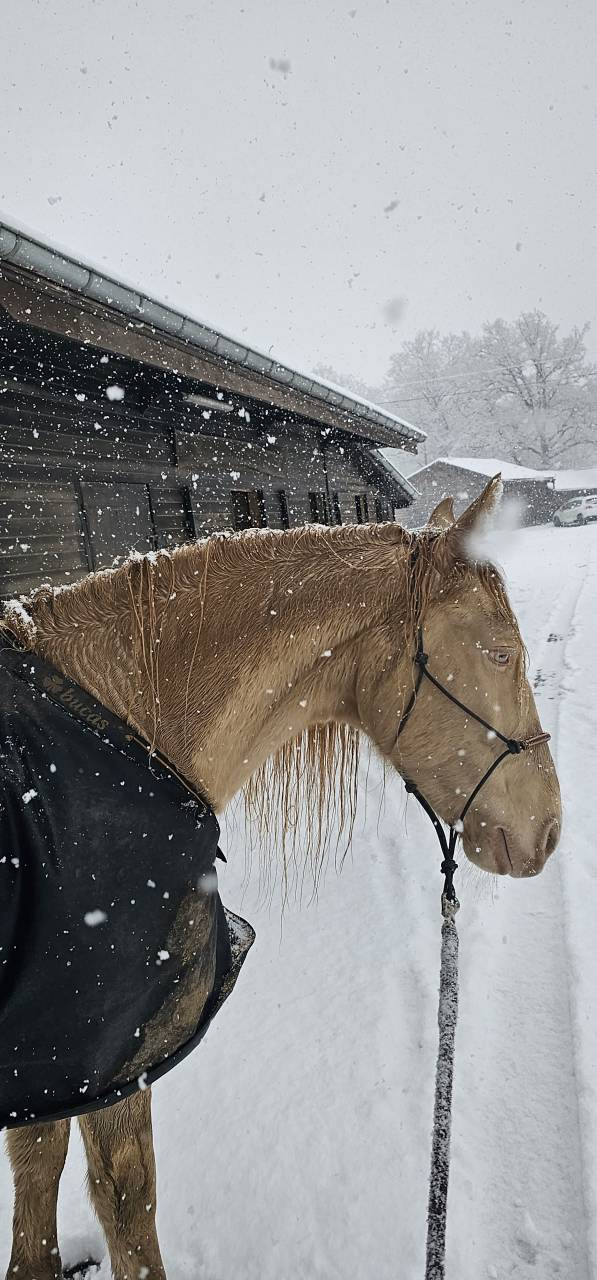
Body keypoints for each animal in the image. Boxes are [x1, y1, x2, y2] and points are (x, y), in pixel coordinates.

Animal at [0, 476, 561, 1280]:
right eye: (499, 653)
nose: (548, 831)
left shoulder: (54, 1062)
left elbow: (36, 1174)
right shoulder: (112, 1045)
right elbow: (126, 1198)